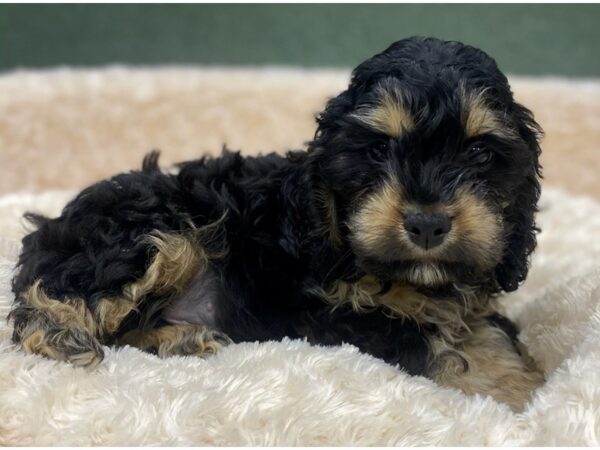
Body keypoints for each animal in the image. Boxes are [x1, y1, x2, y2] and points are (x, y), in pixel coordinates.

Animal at [8, 37, 544, 412]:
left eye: (479, 154)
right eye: (378, 150)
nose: (428, 224)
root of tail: (53, 228)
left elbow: (484, 329)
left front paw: (520, 376)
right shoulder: (319, 314)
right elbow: (427, 339)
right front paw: (506, 393)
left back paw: (182, 339)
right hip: (149, 236)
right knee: (44, 319)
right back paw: (74, 336)